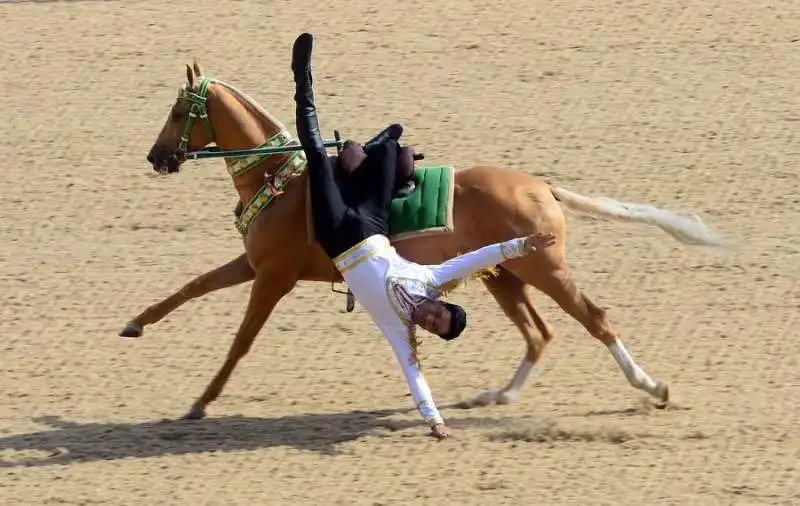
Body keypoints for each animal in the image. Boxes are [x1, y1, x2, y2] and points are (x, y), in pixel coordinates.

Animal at [131, 59, 732, 422]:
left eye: (180, 111)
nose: (157, 157)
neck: (283, 179)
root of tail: (542, 187)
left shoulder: (274, 277)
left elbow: (240, 341)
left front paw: (202, 401)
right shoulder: (255, 264)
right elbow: (191, 287)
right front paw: (136, 323)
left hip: (544, 270)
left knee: (595, 320)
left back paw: (651, 386)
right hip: (504, 276)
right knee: (539, 335)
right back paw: (500, 394)